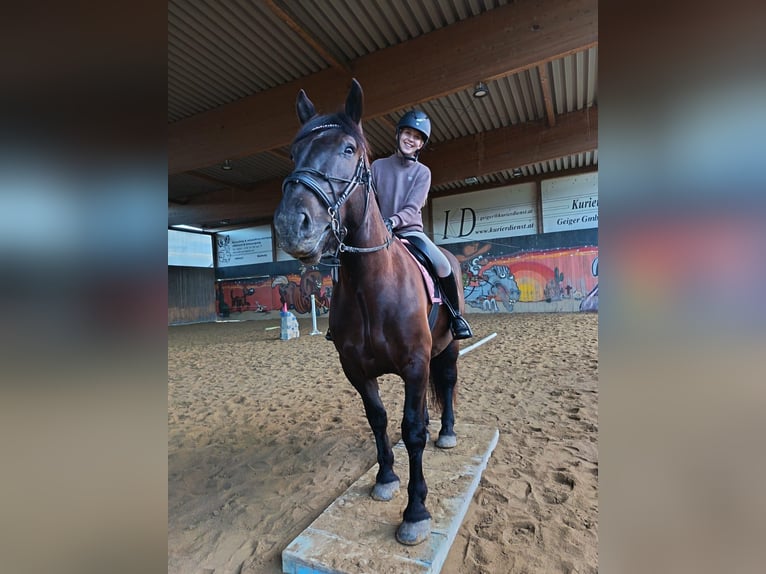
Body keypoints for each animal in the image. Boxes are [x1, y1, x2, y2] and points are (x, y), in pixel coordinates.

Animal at [274, 79, 463, 546]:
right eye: (293, 151)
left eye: (347, 149)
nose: (290, 225)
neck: (371, 287)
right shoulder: (356, 369)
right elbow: (379, 420)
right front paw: (386, 478)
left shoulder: (415, 363)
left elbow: (412, 431)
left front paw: (415, 512)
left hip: (447, 349)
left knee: (448, 384)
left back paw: (448, 433)